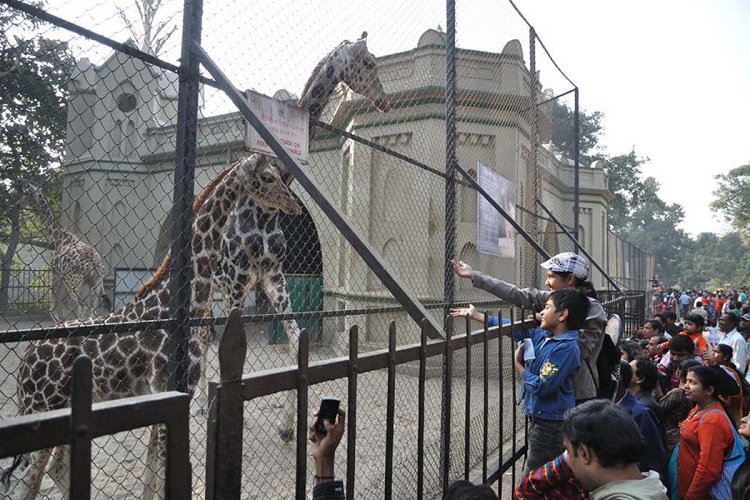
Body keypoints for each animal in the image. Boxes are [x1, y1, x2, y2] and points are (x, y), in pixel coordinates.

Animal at [20, 181, 106, 320]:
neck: (59, 239)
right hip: (95, 284)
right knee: (93, 310)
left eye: (27, 193)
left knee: (82, 306)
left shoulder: (56, 273)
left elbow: (54, 305)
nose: (18, 203)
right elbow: (64, 307)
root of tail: (94, 265)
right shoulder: (64, 278)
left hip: (74, 283)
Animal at [209, 31, 390, 440]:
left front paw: (287, 426)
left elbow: (295, 348)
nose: (385, 101)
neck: (264, 208)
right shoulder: (236, 284)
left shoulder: (274, 280)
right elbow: (231, 362)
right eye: (369, 63)